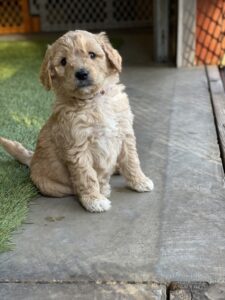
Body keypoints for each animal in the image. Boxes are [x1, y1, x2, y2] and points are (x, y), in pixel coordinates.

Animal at [0, 30, 153, 212]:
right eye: (63, 61)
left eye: (92, 54)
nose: (81, 73)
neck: (93, 101)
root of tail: (32, 159)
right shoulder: (77, 146)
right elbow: (86, 175)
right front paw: (94, 199)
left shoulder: (125, 132)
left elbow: (131, 160)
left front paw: (140, 181)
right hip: (50, 186)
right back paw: (103, 187)